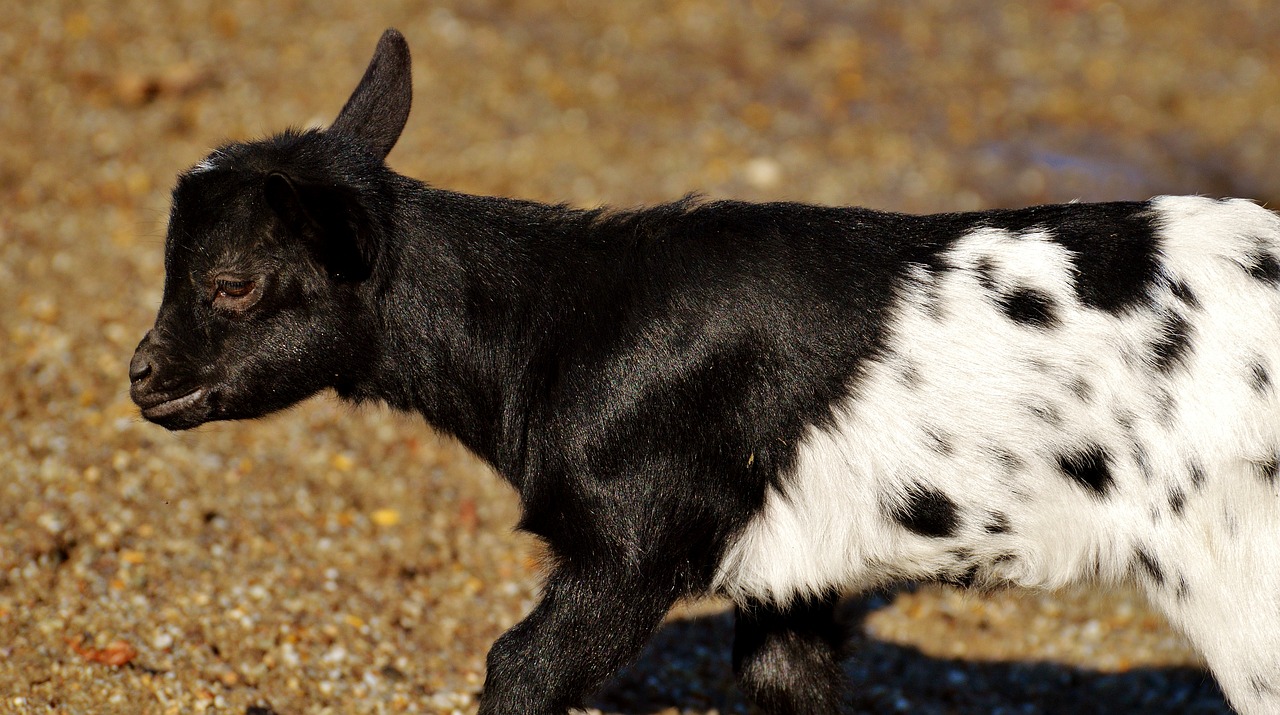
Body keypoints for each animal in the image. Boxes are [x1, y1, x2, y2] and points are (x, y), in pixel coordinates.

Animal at [129, 27, 1280, 715]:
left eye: (231, 283)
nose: (143, 376)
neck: (554, 319)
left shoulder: (633, 542)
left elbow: (516, 668)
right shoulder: (790, 576)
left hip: (1238, 577)